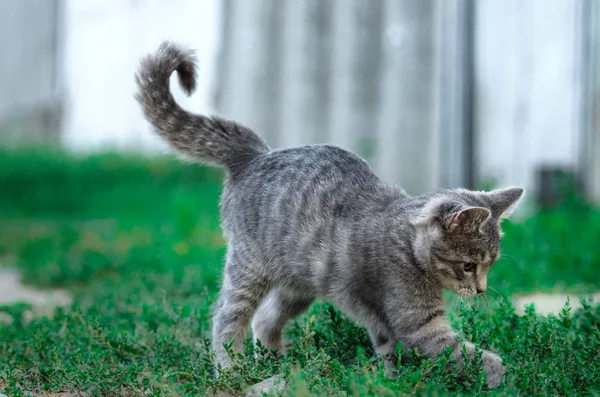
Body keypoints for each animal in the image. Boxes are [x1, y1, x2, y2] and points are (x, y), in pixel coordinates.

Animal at [137, 41, 524, 388]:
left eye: (490, 265)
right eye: (470, 265)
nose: (481, 289)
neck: (404, 241)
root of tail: (256, 154)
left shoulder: (383, 320)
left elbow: (388, 348)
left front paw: (389, 379)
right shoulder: (418, 322)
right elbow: (463, 353)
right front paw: (502, 375)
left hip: (299, 282)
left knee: (265, 318)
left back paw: (274, 363)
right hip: (248, 267)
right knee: (227, 318)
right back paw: (232, 370)